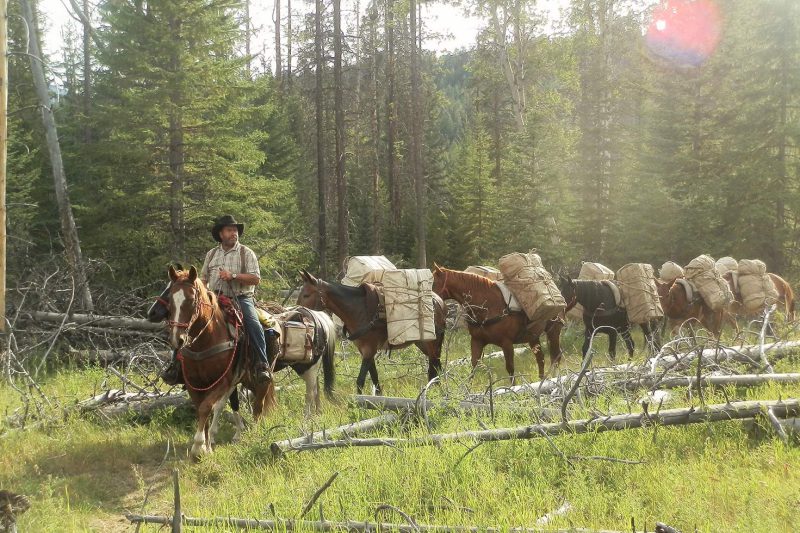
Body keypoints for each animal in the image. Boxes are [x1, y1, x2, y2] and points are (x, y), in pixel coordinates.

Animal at [296, 268, 446, 392]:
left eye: (306, 295)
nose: (297, 314)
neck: (359, 309)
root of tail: (440, 301)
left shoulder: (369, 350)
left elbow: (360, 381)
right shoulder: (366, 351)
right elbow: (376, 382)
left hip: (433, 343)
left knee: (435, 367)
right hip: (422, 343)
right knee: (435, 367)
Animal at [432, 264, 564, 380]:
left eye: (432, 282)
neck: (488, 306)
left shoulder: (507, 344)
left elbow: (510, 369)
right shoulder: (477, 341)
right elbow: (473, 368)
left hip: (553, 331)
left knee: (556, 357)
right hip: (533, 337)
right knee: (541, 359)